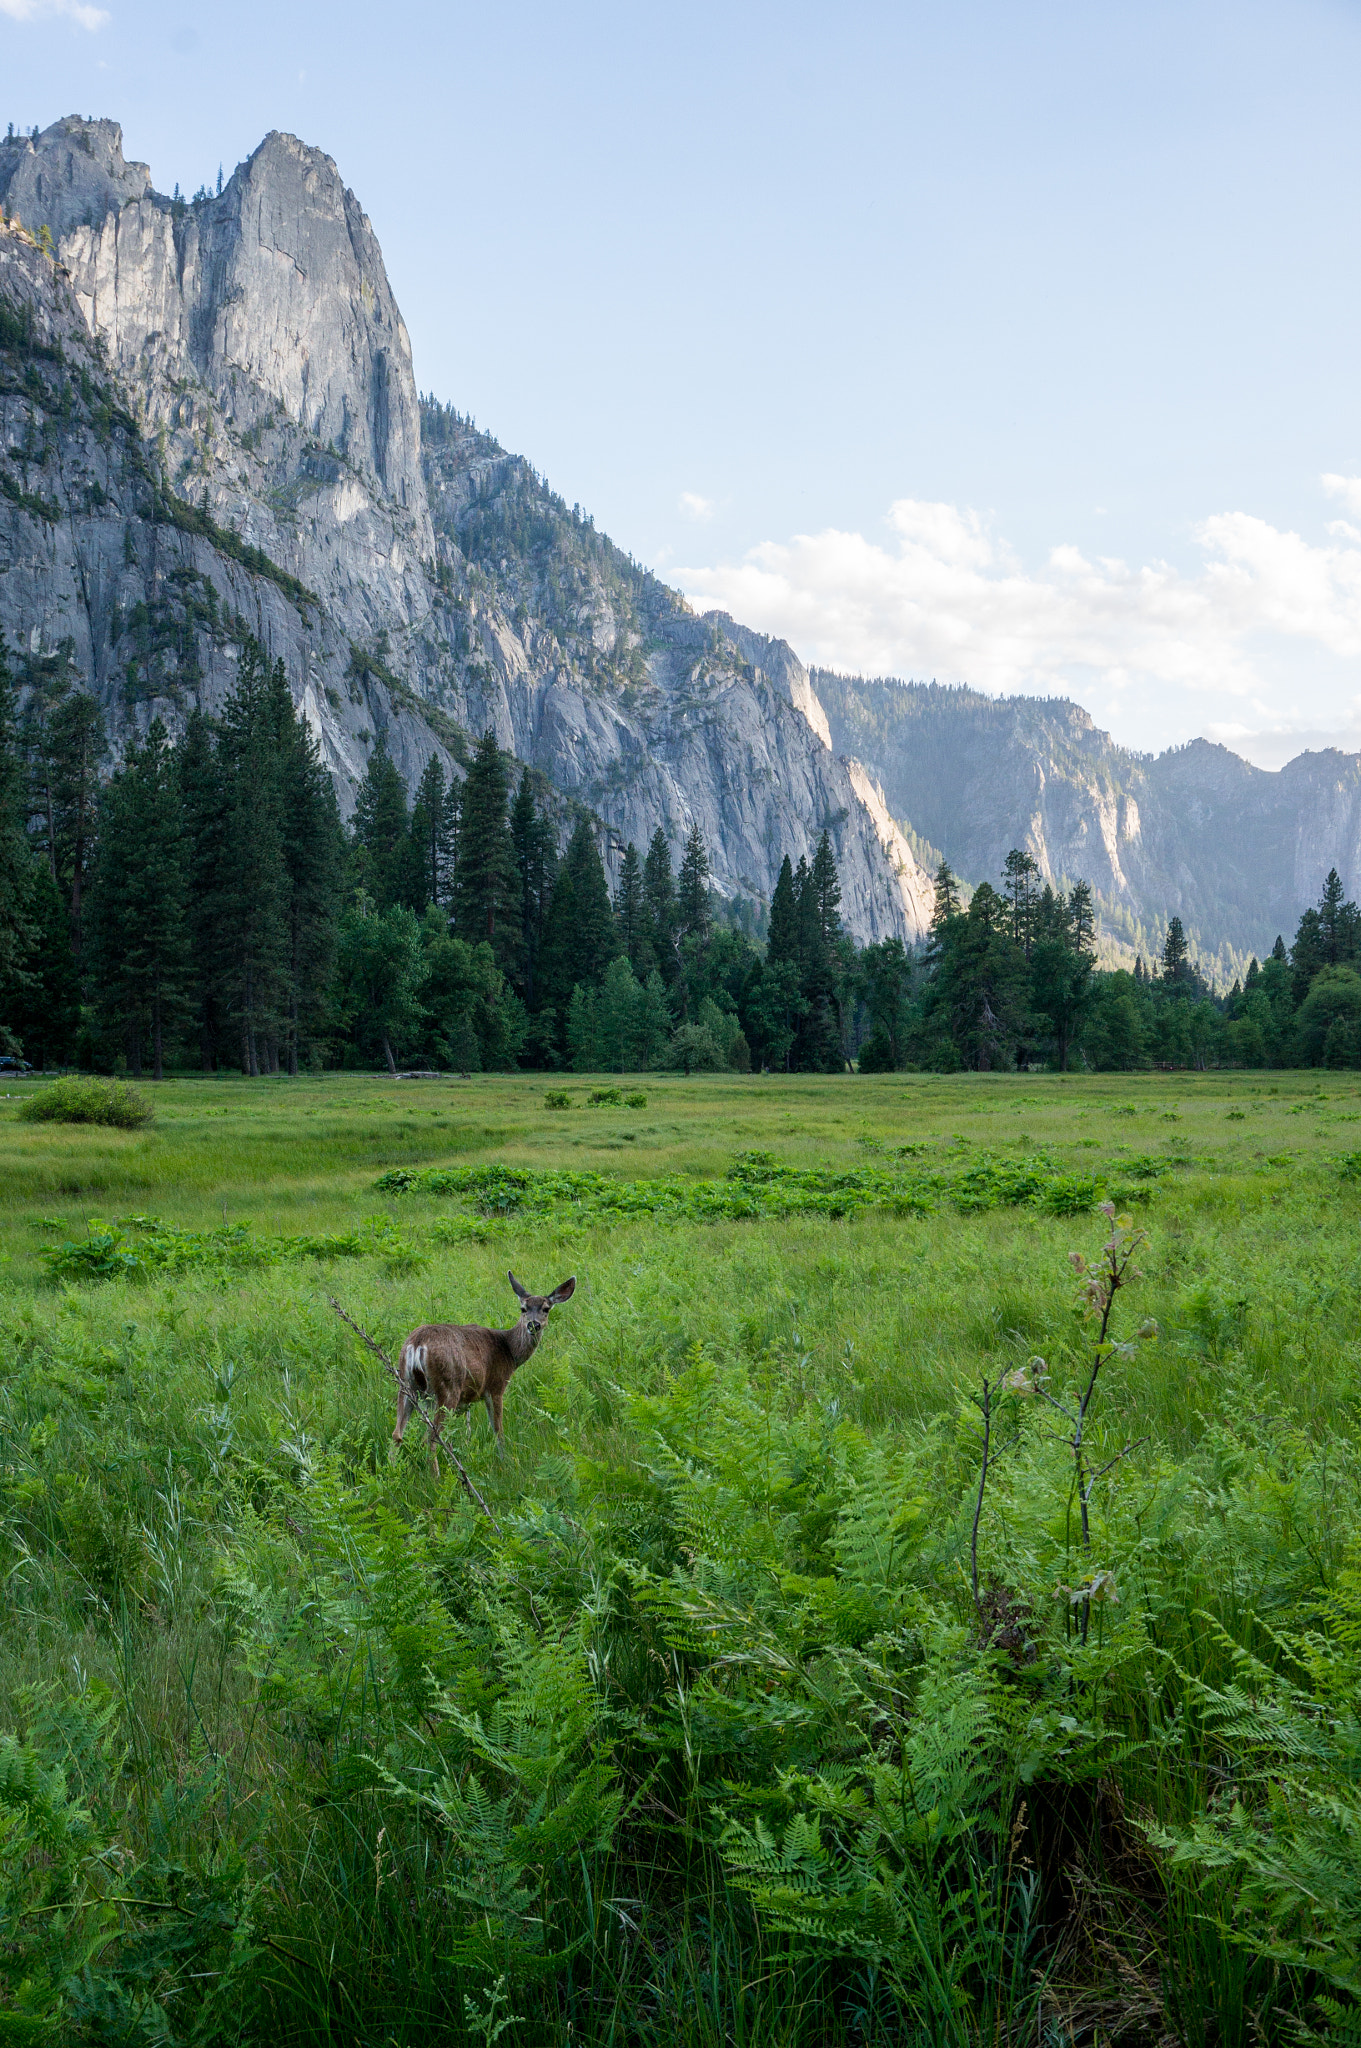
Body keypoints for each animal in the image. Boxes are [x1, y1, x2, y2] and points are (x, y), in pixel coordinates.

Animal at [386, 1261, 573, 1474]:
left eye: (546, 1308)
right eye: (523, 1308)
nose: (534, 1325)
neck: (509, 1351)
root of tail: (417, 1344)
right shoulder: (495, 1386)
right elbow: (498, 1430)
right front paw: (504, 1462)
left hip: (406, 1383)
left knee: (397, 1434)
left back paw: (391, 1472)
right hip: (447, 1388)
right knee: (430, 1438)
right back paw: (436, 1478)